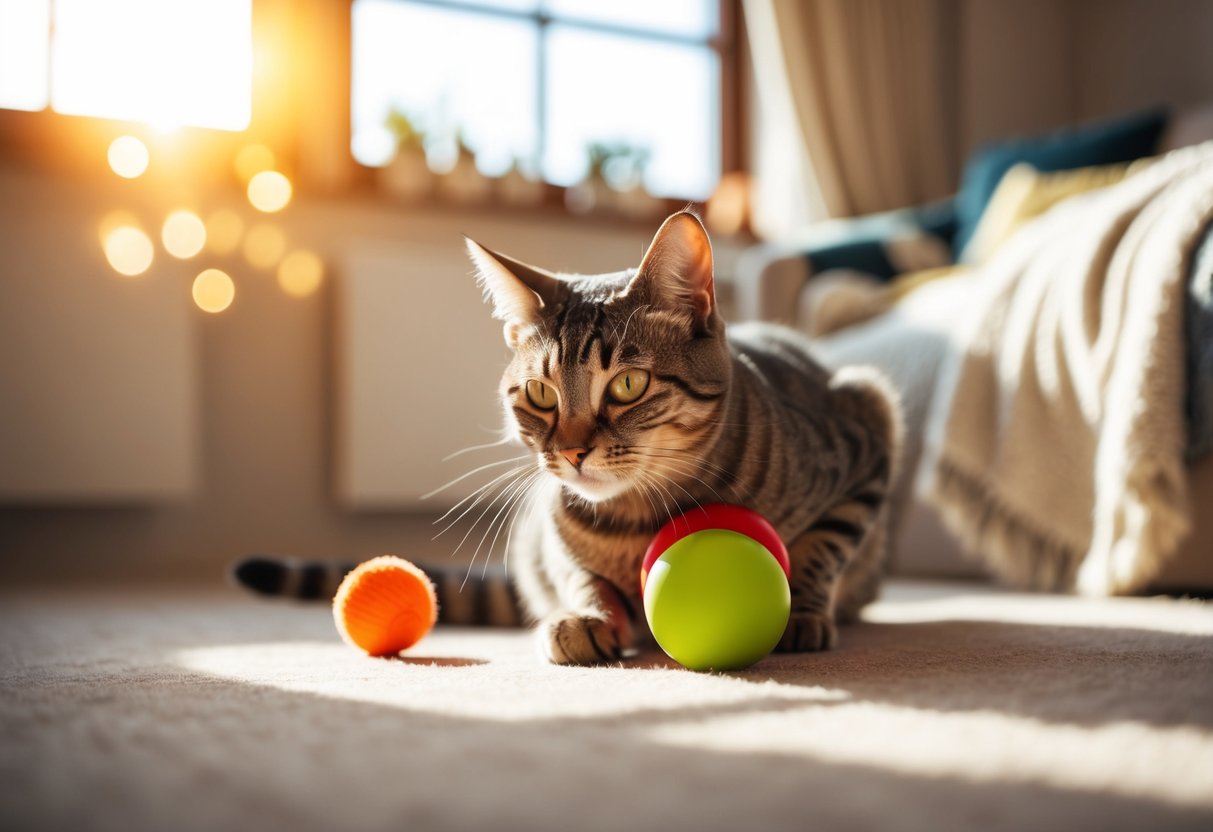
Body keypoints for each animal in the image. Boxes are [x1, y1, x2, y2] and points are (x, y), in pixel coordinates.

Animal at [238, 212, 902, 669]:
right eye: (540, 393)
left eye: (628, 384)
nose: (573, 451)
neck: (636, 519)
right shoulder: (552, 539)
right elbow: (580, 574)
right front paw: (584, 616)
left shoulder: (870, 416)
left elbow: (822, 547)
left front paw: (805, 612)